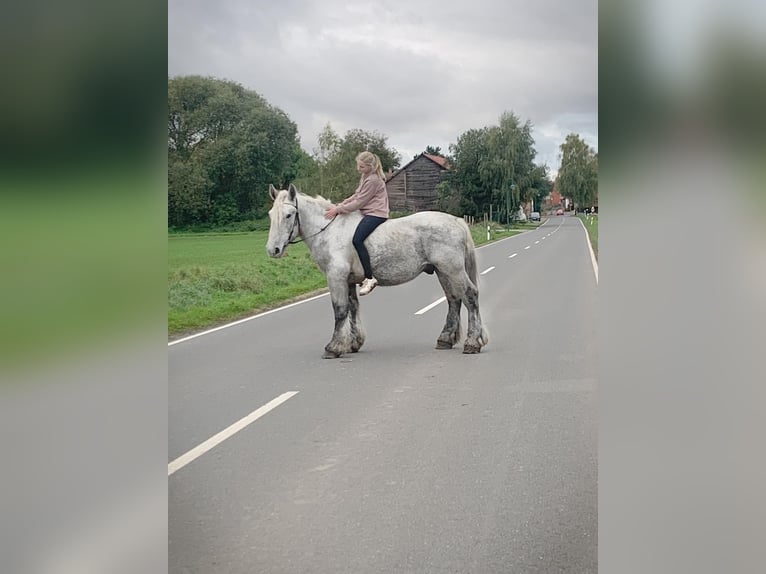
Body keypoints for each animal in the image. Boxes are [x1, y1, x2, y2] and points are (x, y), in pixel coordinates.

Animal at [268, 184, 488, 360]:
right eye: (271, 214)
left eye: (288, 215)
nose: (273, 250)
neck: (330, 231)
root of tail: (457, 221)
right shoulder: (348, 281)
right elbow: (353, 308)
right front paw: (353, 343)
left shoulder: (336, 278)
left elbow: (340, 310)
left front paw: (334, 347)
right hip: (443, 271)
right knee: (454, 300)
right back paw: (445, 339)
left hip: (453, 270)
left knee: (470, 296)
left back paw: (472, 343)